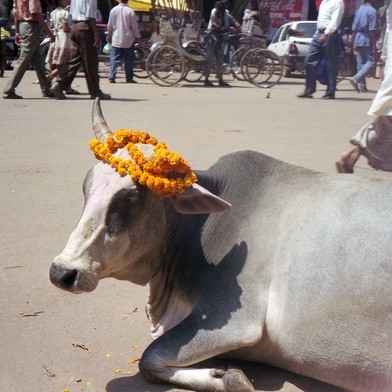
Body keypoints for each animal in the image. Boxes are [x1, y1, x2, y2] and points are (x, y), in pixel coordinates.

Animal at [49, 99, 392, 392]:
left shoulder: (235, 321)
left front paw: (231, 379)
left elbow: (149, 358)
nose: (62, 272)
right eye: (86, 187)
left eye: (131, 197)